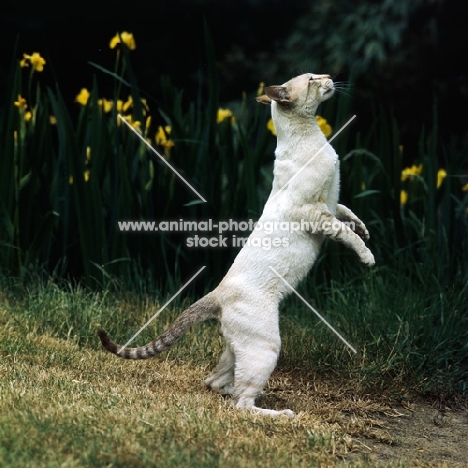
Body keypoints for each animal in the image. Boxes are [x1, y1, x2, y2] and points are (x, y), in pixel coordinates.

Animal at [97, 72, 374, 416]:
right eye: (312, 79)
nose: (330, 77)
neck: (311, 135)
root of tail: (218, 292)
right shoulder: (316, 214)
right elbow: (347, 234)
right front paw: (368, 257)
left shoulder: (332, 206)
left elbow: (351, 216)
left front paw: (366, 231)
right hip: (266, 346)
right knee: (242, 403)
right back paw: (281, 415)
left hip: (237, 348)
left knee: (215, 381)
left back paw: (234, 391)